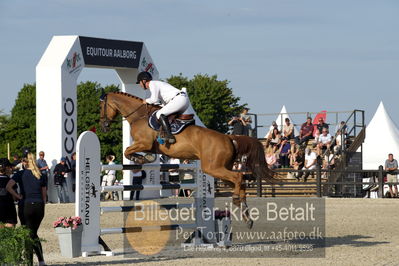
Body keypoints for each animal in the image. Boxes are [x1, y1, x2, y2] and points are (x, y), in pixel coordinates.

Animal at [100, 92, 276, 229]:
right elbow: (132, 151)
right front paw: (145, 157)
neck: (139, 116)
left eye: (102, 106)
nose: (104, 126)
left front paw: (141, 158)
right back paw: (246, 216)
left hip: (213, 168)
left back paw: (236, 201)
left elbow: (127, 151)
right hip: (219, 170)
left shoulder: (144, 143)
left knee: (238, 177)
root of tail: (229, 137)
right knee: (241, 180)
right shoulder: (147, 145)